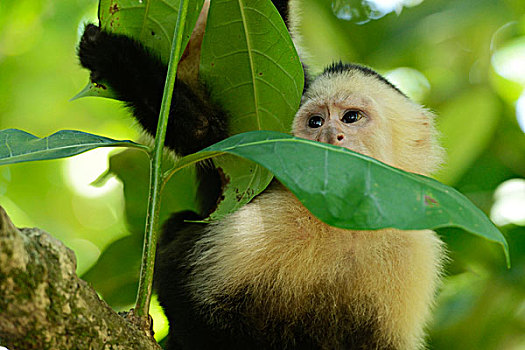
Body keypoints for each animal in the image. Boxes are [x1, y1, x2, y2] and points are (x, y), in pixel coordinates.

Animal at [78, 0, 444, 348]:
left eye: (351, 117)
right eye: (315, 122)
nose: (331, 136)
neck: (342, 224)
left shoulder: (413, 251)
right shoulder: (259, 218)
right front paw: (108, 51)